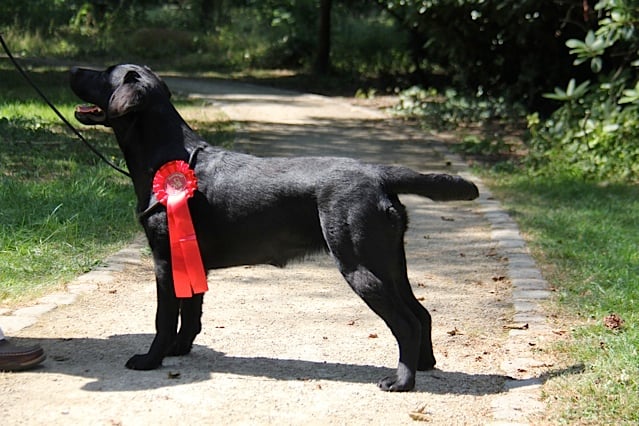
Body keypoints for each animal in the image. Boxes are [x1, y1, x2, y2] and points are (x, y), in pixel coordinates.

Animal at [70, 64, 479, 391]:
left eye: (103, 73)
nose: (73, 69)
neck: (166, 157)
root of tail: (378, 174)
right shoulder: (189, 259)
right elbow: (192, 312)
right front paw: (180, 350)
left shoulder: (165, 259)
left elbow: (165, 317)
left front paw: (151, 359)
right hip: (391, 261)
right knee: (421, 313)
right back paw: (425, 365)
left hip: (360, 263)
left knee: (406, 322)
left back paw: (402, 381)